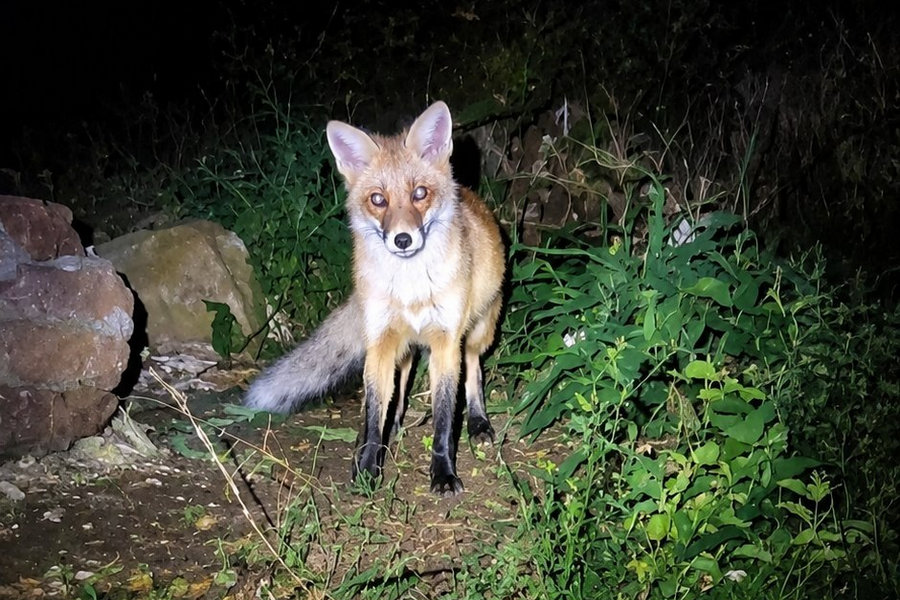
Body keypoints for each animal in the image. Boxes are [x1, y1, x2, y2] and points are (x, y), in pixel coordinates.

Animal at [245, 101, 505, 496]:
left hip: (477, 332)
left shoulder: (446, 343)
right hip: (401, 342)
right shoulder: (379, 341)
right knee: (400, 382)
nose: (402, 239)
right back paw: (391, 427)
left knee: (474, 369)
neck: (411, 289)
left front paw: (443, 474)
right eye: (378, 200)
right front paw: (367, 468)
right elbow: (372, 412)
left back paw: (478, 422)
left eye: (419, 193)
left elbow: (445, 421)